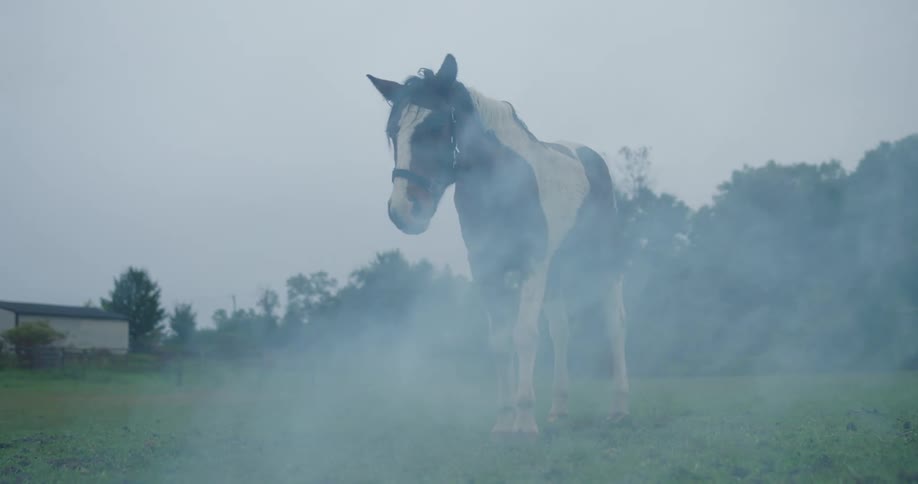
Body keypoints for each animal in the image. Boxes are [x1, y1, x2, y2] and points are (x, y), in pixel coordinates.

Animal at [367, 53, 630, 439]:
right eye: (392, 133)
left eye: (434, 127)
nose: (402, 211)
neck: (503, 181)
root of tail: (589, 157)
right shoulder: (487, 268)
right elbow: (500, 340)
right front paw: (504, 422)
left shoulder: (533, 262)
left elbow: (524, 335)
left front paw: (525, 423)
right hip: (556, 273)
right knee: (561, 330)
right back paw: (559, 409)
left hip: (603, 263)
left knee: (614, 323)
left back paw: (618, 408)